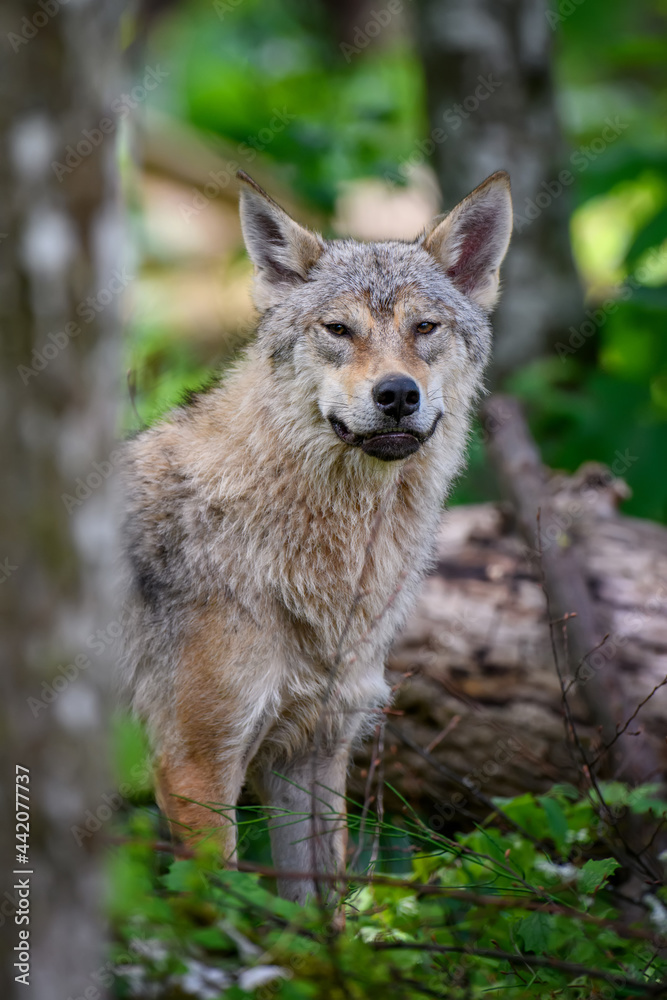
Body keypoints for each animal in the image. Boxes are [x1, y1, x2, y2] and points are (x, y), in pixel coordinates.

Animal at [120, 168, 516, 904]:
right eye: (338, 329)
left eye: (424, 327)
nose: (397, 394)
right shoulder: (195, 766)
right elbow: (223, 909)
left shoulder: (313, 750)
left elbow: (318, 912)